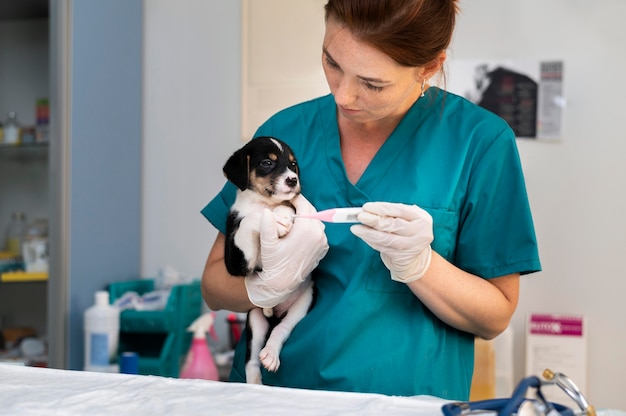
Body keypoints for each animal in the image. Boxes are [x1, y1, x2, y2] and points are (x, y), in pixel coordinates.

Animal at [222, 136, 314, 384]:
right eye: (267, 163)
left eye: (293, 164)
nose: (293, 180)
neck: (264, 203)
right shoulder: (237, 262)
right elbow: (250, 221)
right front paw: (273, 220)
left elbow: (286, 207)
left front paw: (282, 216)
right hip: (254, 318)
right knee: (252, 359)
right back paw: (255, 382)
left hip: (304, 301)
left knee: (281, 330)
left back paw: (271, 355)